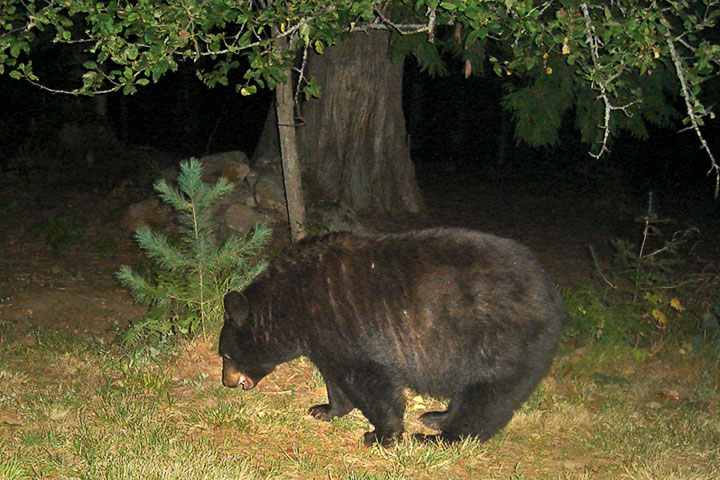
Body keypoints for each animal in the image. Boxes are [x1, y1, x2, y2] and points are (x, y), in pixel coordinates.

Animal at [219, 229, 568, 446]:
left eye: (225, 354)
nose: (227, 381)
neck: (293, 304)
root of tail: (552, 296)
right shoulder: (326, 339)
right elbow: (336, 377)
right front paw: (325, 409)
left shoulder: (346, 326)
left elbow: (371, 380)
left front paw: (383, 434)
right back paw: (436, 417)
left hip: (504, 341)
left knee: (487, 396)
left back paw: (440, 438)